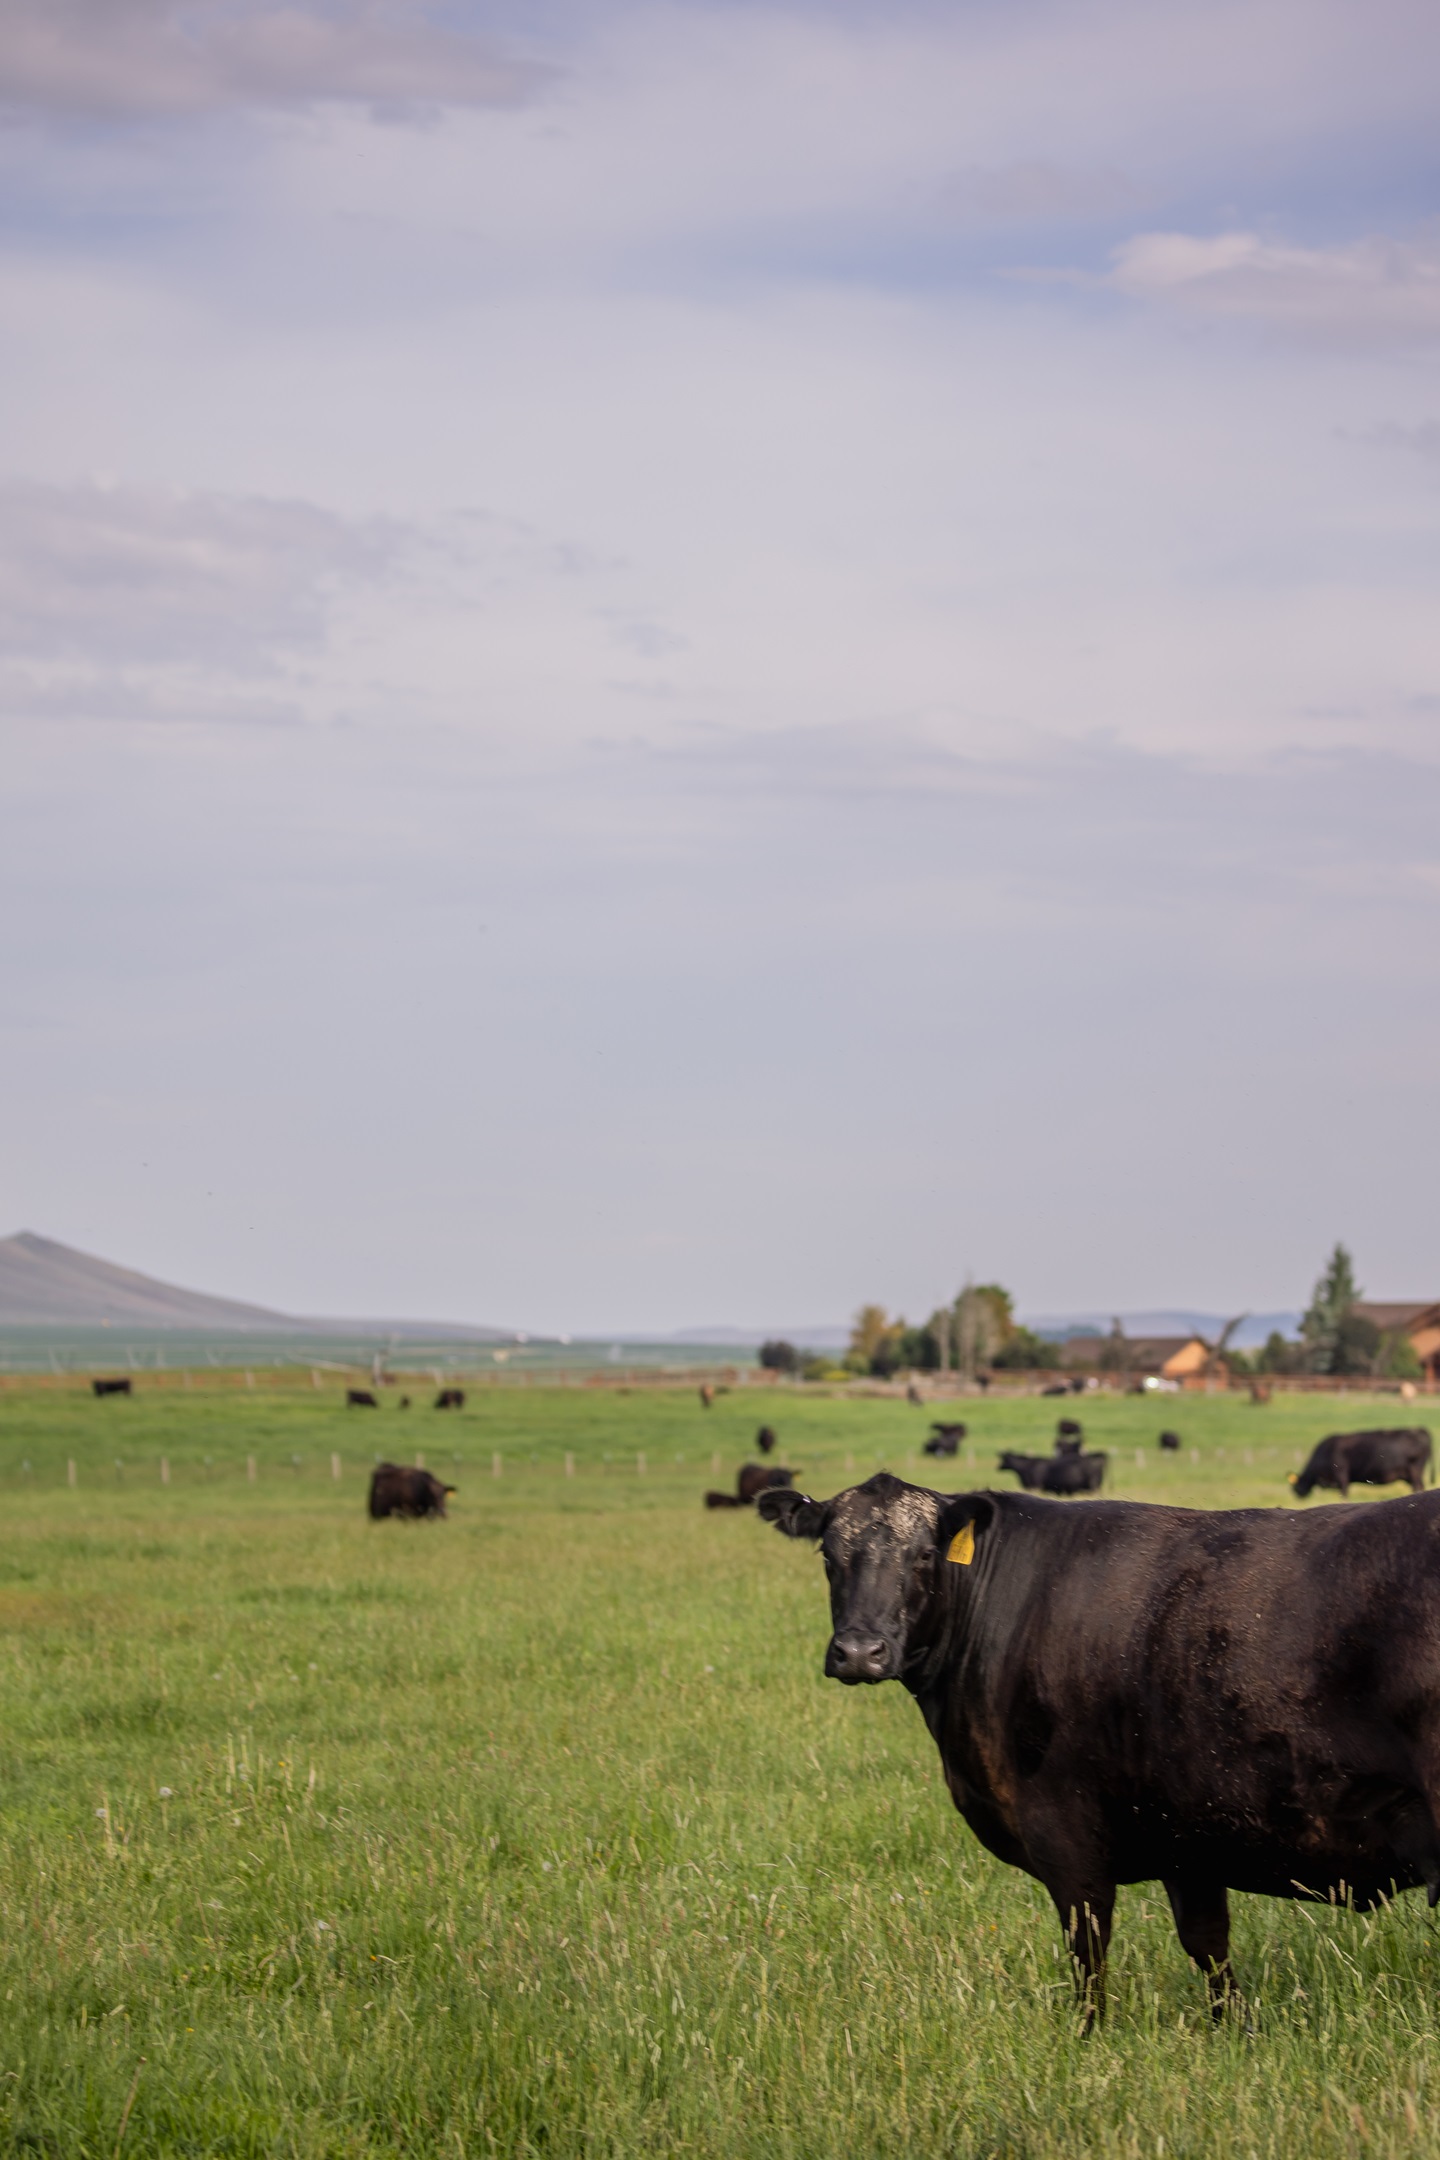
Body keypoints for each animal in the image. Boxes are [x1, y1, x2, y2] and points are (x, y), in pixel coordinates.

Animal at [760, 1470, 1440, 2023]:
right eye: (829, 1553)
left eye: (925, 1553)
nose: (859, 1652)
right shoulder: (1188, 1831)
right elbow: (1208, 1946)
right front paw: (1234, 2031)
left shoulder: (1064, 1832)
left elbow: (1088, 1949)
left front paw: (1088, 2036)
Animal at [1291, 1427, 1432, 1500]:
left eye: (1296, 1487)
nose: (1298, 1495)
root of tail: (1420, 1429)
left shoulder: (1342, 1476)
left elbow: (1344, 1495)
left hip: (1415, 1471)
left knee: (1417, 1487)